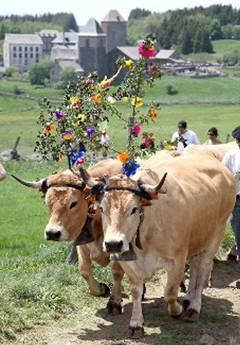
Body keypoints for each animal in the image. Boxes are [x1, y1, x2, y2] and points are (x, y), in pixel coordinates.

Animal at [81, 153, 235, 336]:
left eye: (134, 209)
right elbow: (136, 291)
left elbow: (170, 291)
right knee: (196, 268)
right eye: (102, 209)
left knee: (203, 269)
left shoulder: (177, 259)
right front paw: (136, 324)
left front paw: (177, 310)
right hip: (197, 239)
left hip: (216, 234)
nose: (113, 244)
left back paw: (193, 307)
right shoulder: (129, 262)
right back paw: (189, 298)